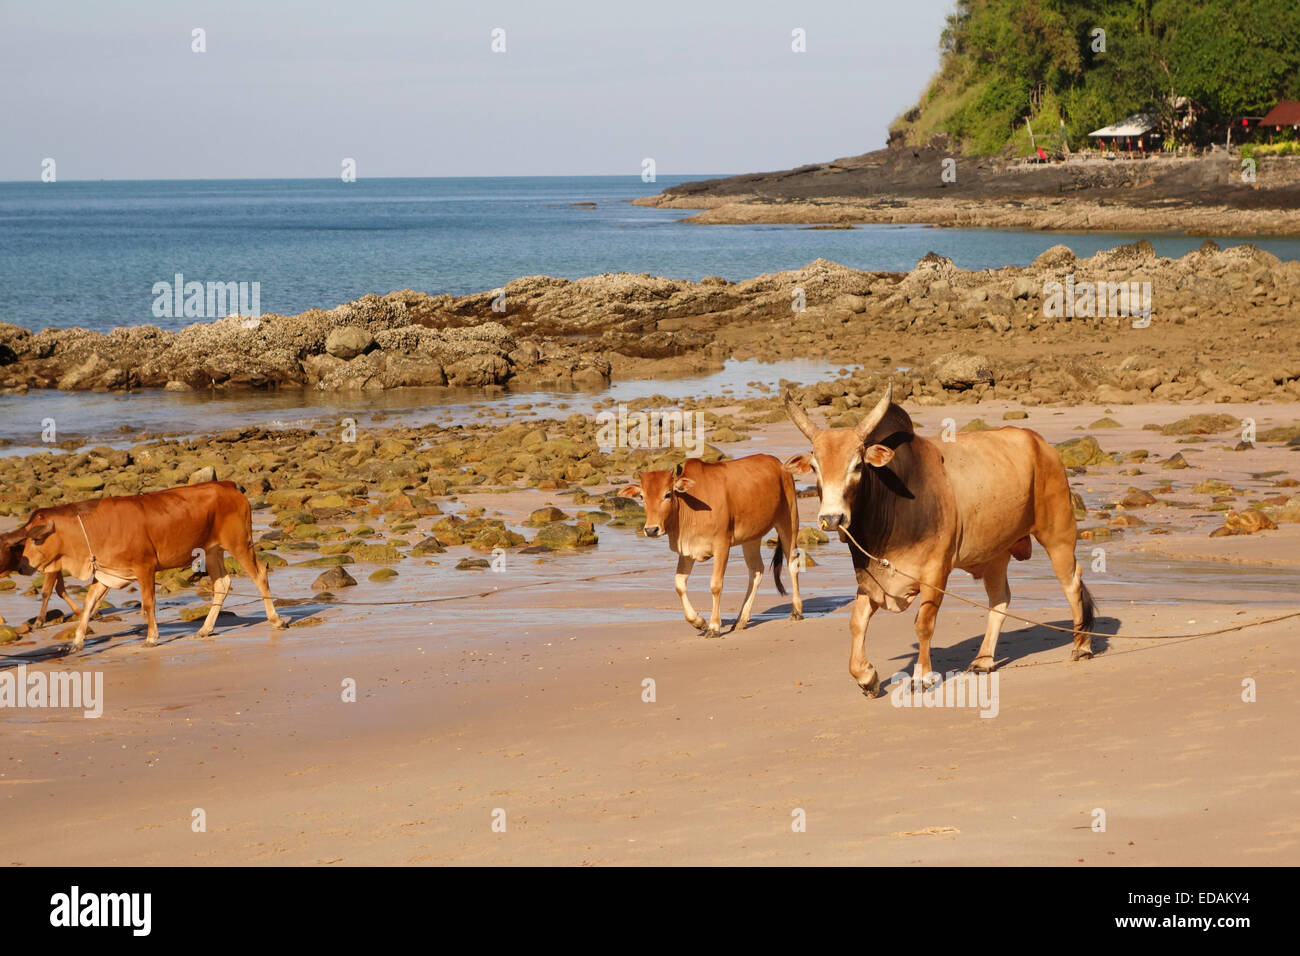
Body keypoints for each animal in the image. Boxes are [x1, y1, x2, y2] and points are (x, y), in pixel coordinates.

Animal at [0, 481, 284, 655]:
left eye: (35, 539)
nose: (23, 566)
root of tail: (227, 485)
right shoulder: (105, 574)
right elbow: (89, 605)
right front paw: (77, 642)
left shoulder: (145, 567)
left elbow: (148, 603)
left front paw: (151, 637)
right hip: (212, 550)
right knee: (222, 585)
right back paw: (205, 629)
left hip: (239, 543)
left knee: (259, 574)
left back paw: (275, 619)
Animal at [618, 455, 800, 634]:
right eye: (641, 496)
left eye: (668, 494)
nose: (651, 529)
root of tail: (779, 464)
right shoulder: (687, 551)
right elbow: (679, 584)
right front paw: (699, 622)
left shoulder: (722, 545)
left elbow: (715, 585)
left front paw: (713, 626)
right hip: (751, 538)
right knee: (756, 571)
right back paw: (740, 620)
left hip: (789, 521)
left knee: (792, 564)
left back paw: (796, 611)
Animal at [785, 385, 1092, 697]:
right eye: (815, 467)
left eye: (858, 465)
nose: (832, 518)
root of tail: (1043, 445)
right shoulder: (872, 578)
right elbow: (857, 622)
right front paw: (867, 677)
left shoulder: (935, 572)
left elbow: (923, 624)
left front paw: (922, 676)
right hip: (996, 552)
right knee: (1000, 599)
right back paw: (983, 660)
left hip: (1058, 534)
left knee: (1072, 583)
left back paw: (1082, 646)